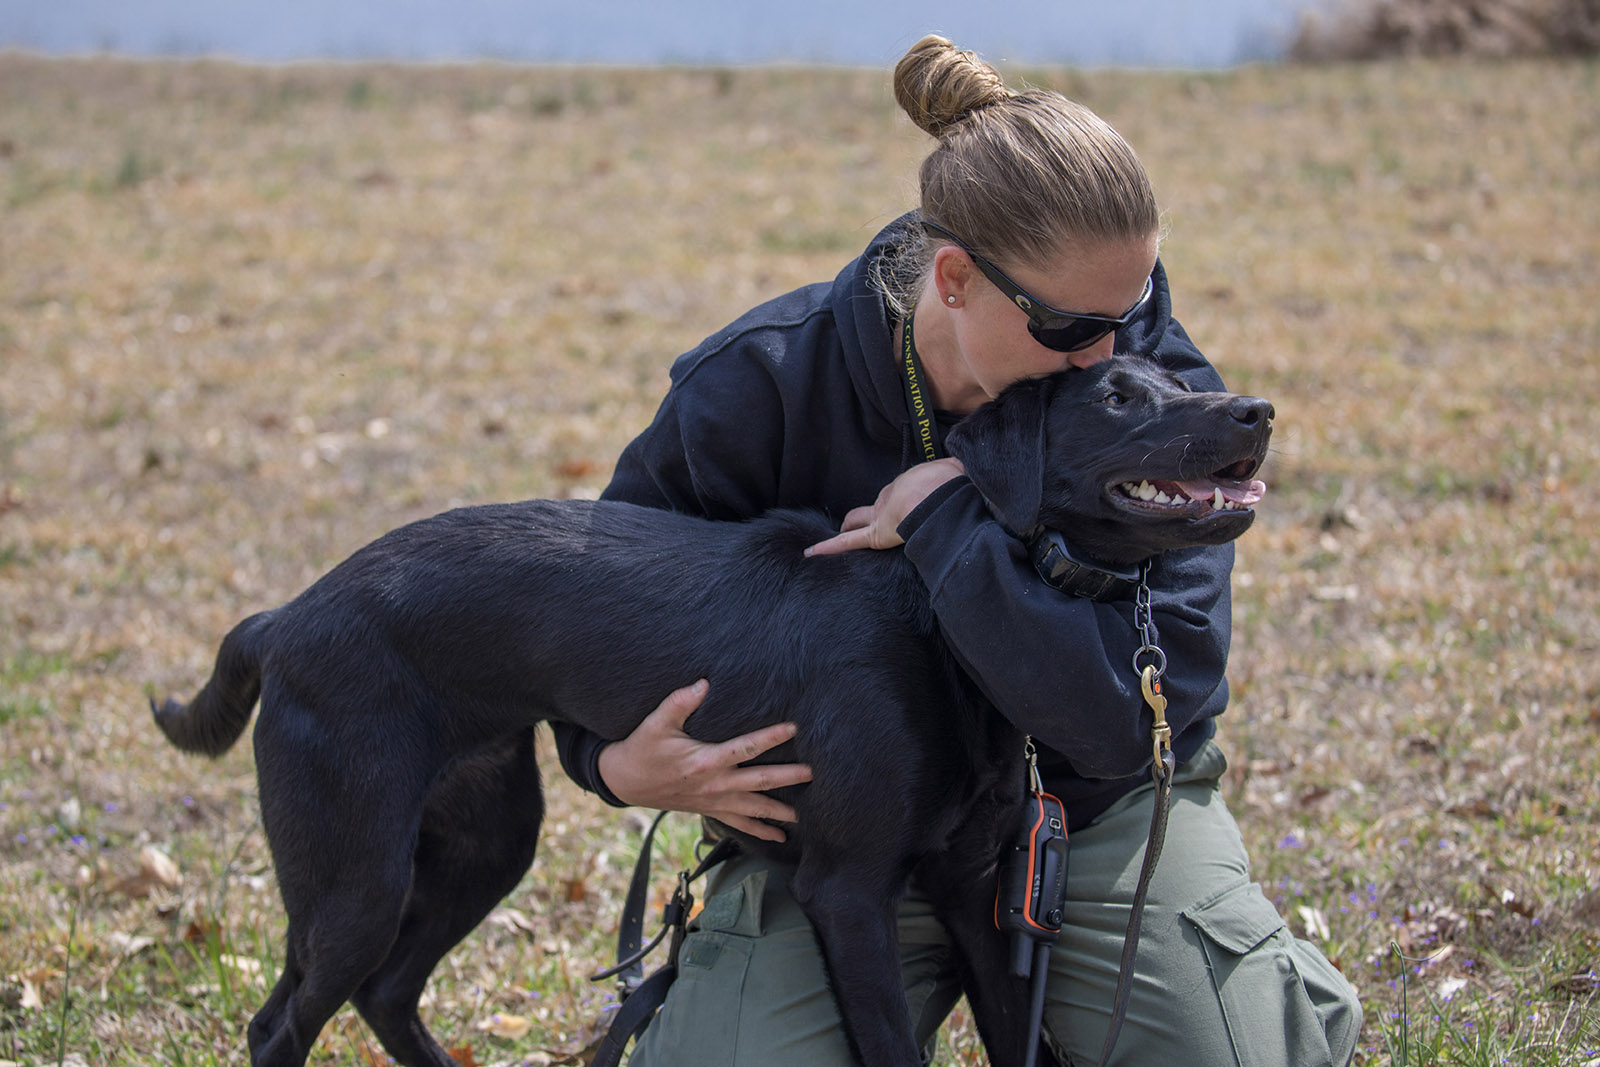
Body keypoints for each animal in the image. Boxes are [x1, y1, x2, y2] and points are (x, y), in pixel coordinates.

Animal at [152, 356, 1273, 1067]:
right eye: (1116, 398)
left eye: (1178, 382)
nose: (1257, 410)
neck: (935, 607)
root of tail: (283, 617)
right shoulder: (848, 890)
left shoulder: (971, 892)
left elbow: (1016, 1034)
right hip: (358, 872)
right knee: (282, 1024)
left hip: (479, 842)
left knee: (384, 992)